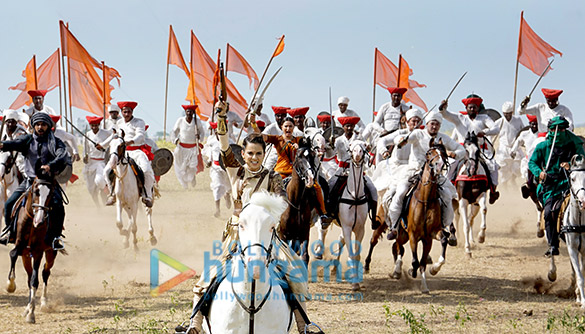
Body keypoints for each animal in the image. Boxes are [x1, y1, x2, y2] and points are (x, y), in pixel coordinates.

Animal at [5, 177, 61, 324]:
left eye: (50, 194)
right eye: (36, 191)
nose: (39, 220)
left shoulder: (38, 252)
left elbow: (35, 281)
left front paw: (31, 314)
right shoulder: (20, 246)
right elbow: (13, 254)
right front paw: (10, 285)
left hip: (51, 253)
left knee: (45, 273)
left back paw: (43, 303)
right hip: (26, 256)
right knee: (30, 277)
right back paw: (27, 307)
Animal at [390, 140, 450, 294]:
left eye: (443, 153)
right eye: (429, 153)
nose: (439, 165)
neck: (426, 200)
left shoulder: (430, 236)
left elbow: (425, 260)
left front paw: (432, 273)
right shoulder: (413, 235)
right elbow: (415, 261)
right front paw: (411, 271)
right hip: (402, 233)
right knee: (398, 246)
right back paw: (397, 271)